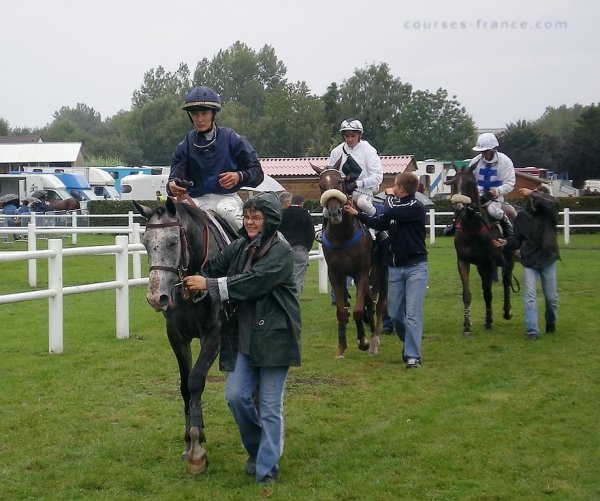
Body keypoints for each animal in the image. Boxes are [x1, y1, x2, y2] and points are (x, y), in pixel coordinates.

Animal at [442, 165, 516, 336]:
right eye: (453, 183)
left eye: (469, 183)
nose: (458, 208)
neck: (472, 226)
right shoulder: (463, 261)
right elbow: (467, 294)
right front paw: (467, 325)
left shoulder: (489, 263)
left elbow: (488, 294)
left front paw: (488, 322)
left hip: (509, 258)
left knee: (507, 280)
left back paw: (507, 311)